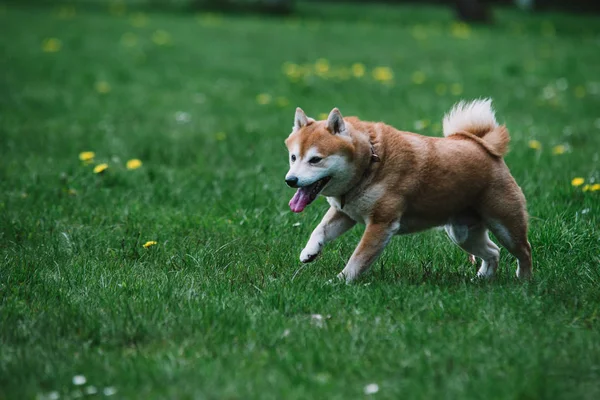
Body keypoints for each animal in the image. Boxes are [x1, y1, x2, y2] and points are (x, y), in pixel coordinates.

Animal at [284, 99, 532, 282]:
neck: (370, 165)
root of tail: (482, 145)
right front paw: (309, 251)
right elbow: (320, 230)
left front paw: (338, 282)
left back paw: (524, 281)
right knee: (493, 252)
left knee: (524, 250)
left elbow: (357, 259)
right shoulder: (345, 213)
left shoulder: (381, 224)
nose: (290, 180)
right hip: (463, 233)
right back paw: (482, 278)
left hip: (505, 225)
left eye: (315, 159)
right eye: (294, 157)